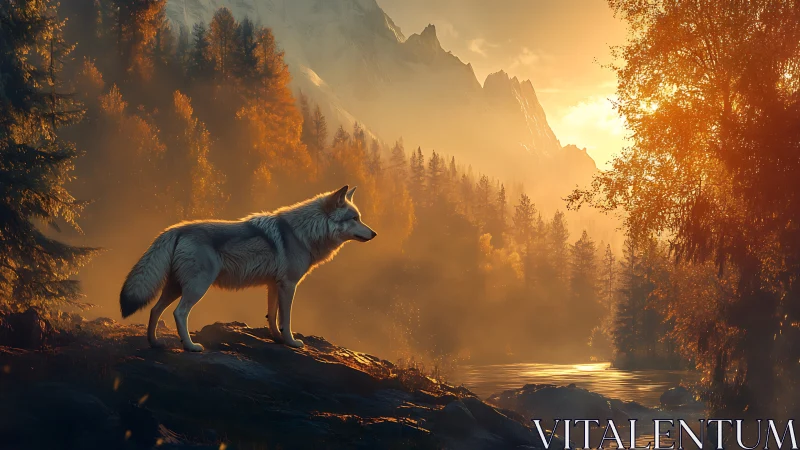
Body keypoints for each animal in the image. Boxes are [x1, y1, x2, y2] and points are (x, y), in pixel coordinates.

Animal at [119, 185, 376, 351]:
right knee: (179, 313)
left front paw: (276, 339)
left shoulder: (274, 285)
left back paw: (154, 343)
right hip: (197, 288)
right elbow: (286, 320)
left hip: (175, 288)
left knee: (155, 310)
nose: (374, 233)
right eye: (354, 218)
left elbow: (272, 316)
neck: (304, 232)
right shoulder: (289, 285)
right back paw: (191, 346)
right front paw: (291, 342)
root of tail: (176, 228)